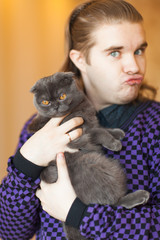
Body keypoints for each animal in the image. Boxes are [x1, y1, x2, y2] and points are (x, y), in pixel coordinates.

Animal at [27, 71, 150, 240]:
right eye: (45, 101)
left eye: (62, 96)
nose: (55, 106)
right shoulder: (78, 135)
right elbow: (98, 132)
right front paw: (114, 143)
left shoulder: (90, 123)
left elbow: (101, 127)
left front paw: (117, 133)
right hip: (98, 165)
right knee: (113, 202)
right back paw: (140, 196)